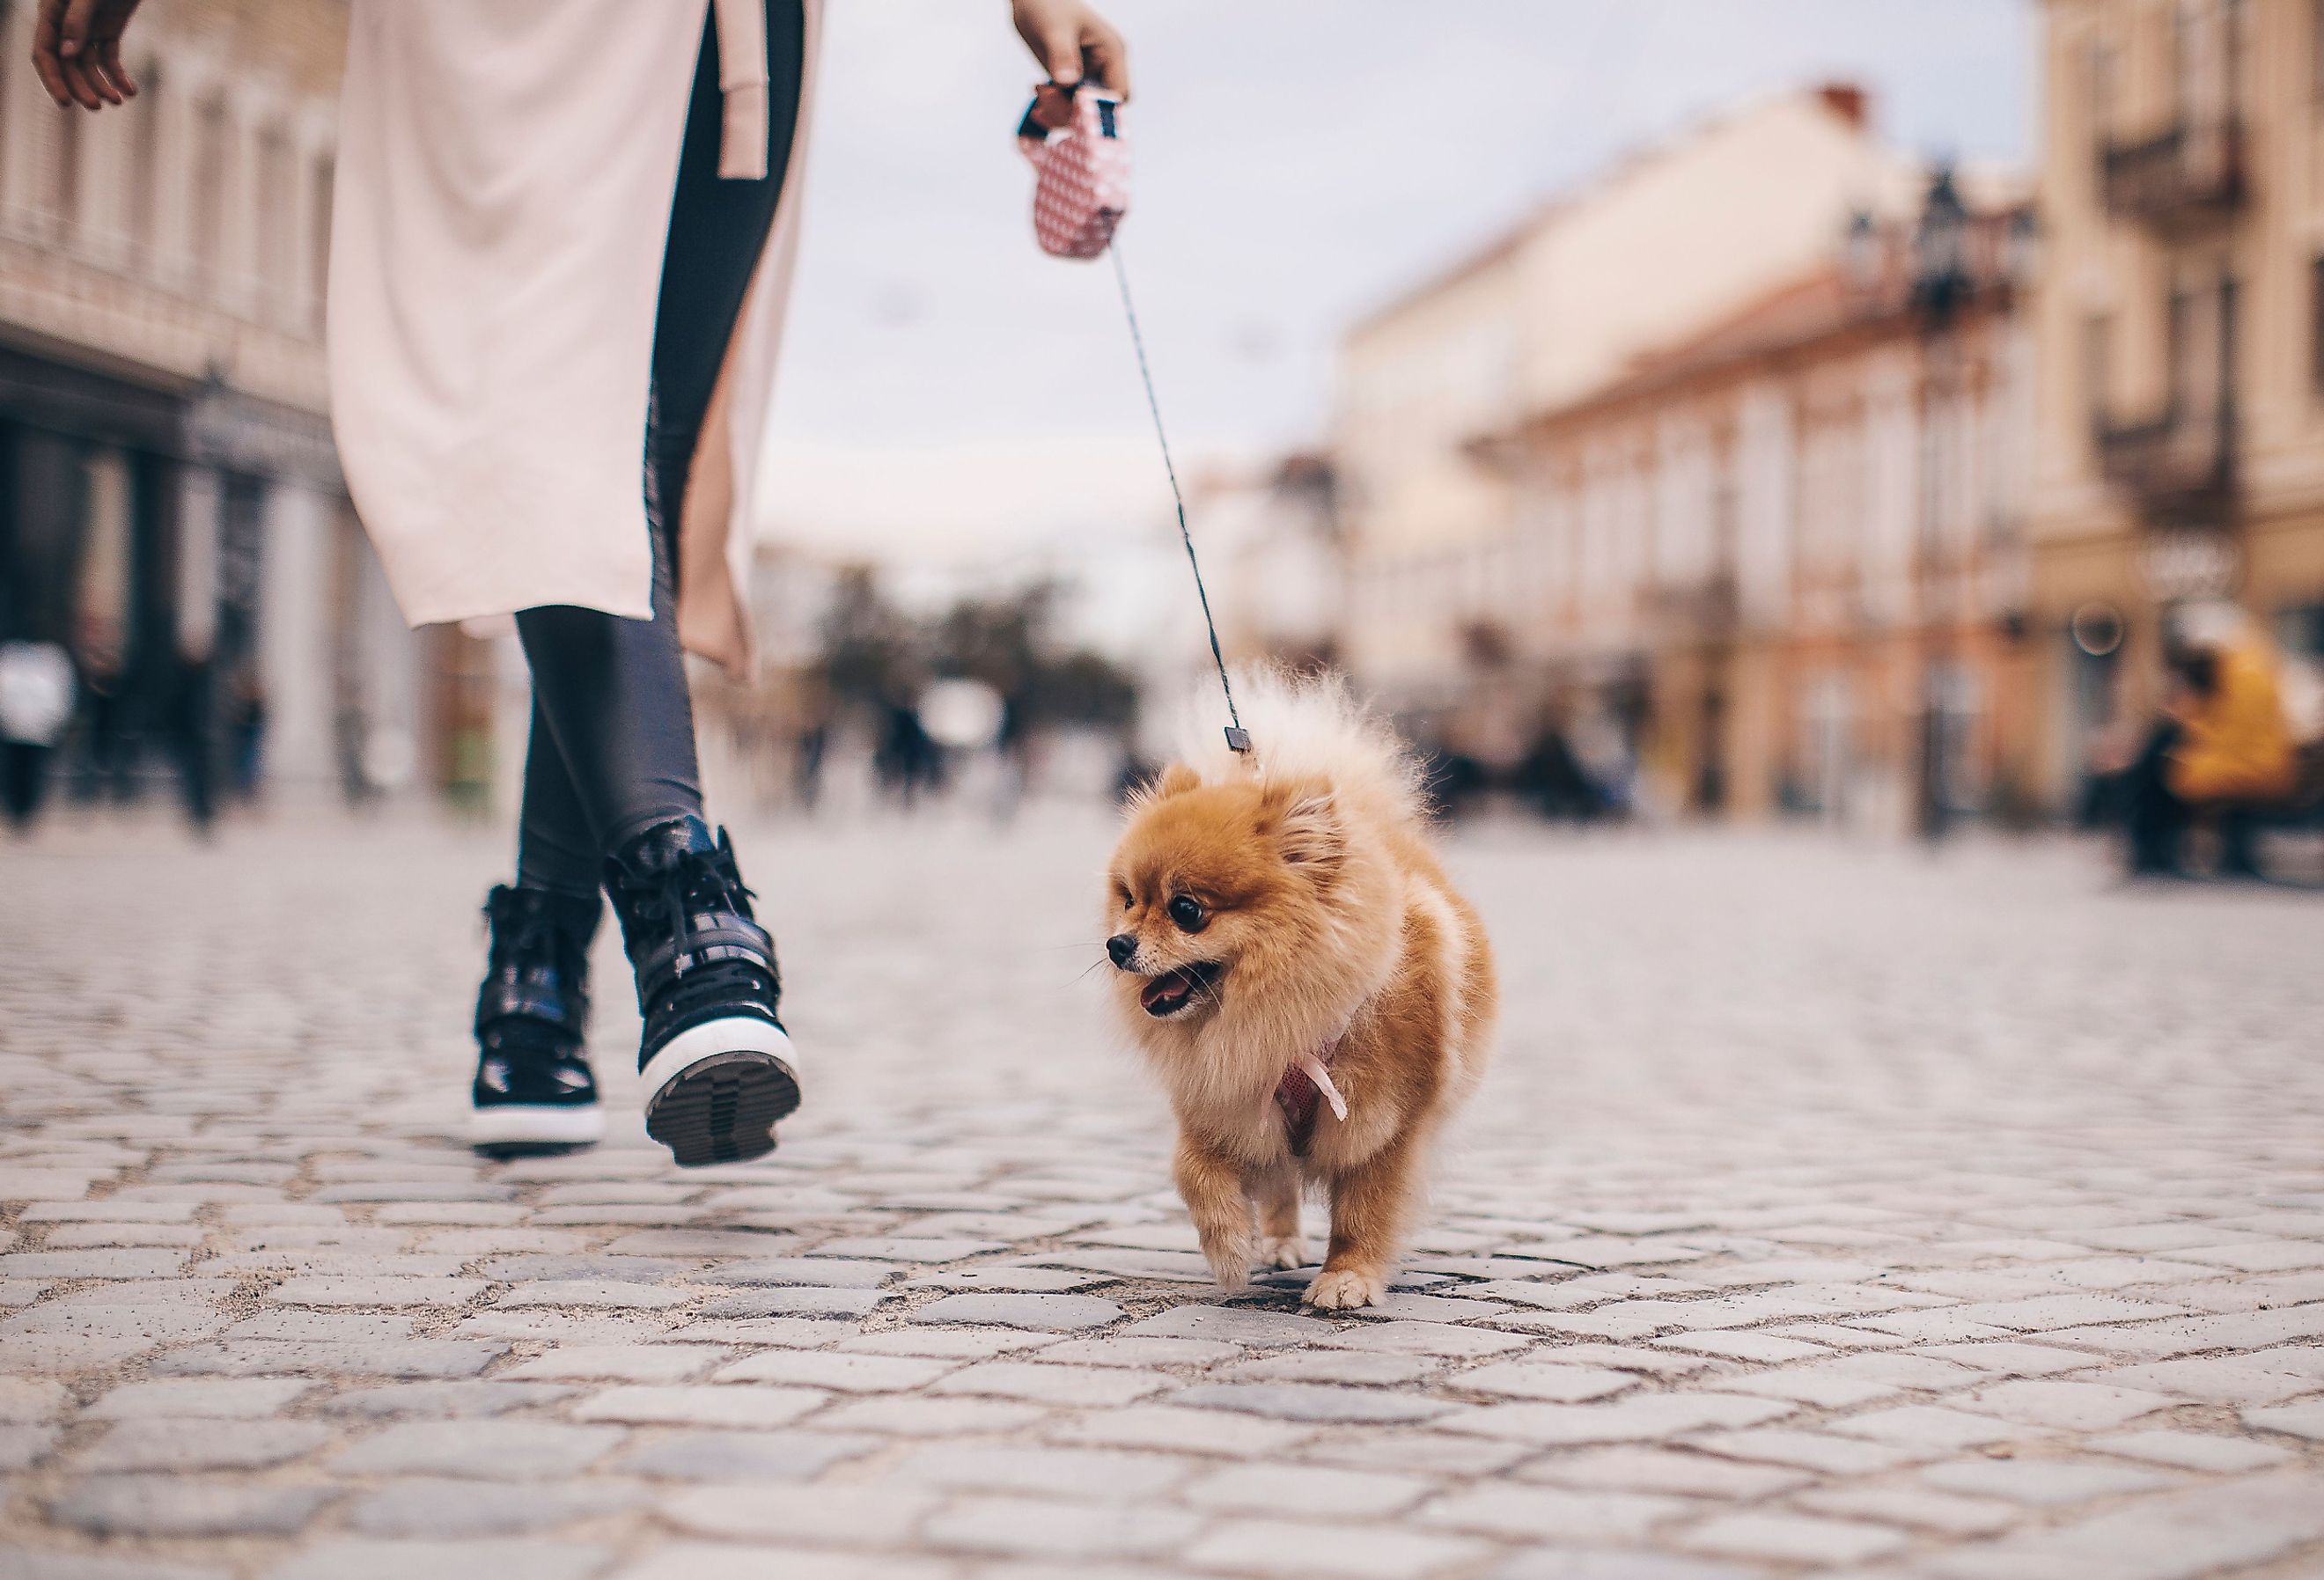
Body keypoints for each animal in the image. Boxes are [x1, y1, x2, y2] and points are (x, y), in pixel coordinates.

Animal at [1101, 664, 1497, 1310]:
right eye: (1130, 900)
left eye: (1186, 910)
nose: (1117, 944)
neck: (1283, 1016)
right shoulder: (1221, 1095)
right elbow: (1193, 1170)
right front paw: (1229, 1246)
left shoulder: (1384, 1125)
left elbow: (1364, 1211)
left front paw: (1347, 1277)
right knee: (1279, 1184)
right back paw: (1278, 1244)